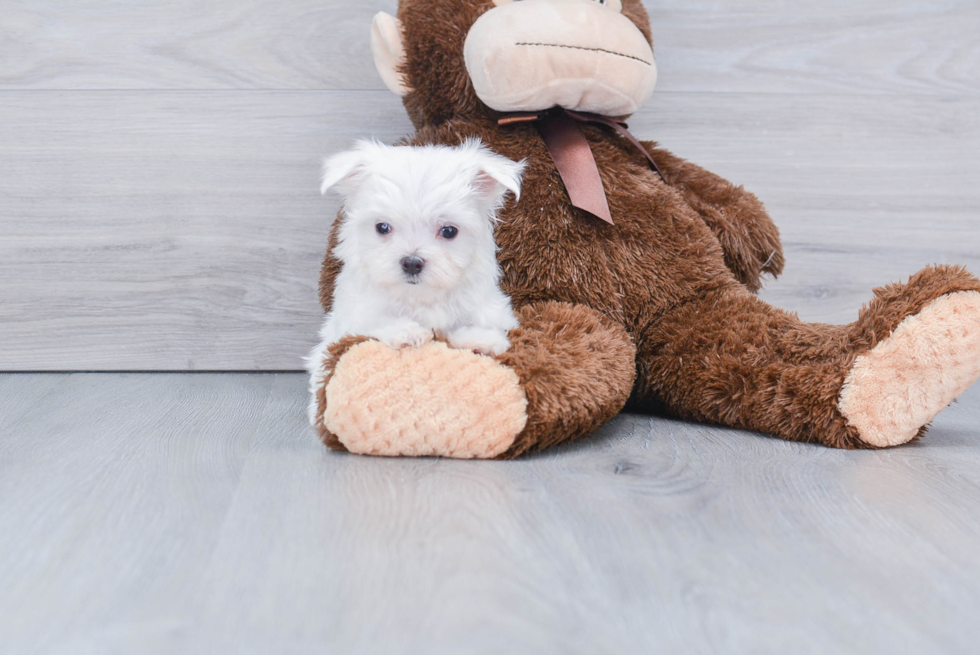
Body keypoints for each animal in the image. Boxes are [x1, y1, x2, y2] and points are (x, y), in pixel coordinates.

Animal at [306, 140, 524, 420]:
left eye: (449, 231)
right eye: (382, 227)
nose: (411, 262)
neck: (420, 297)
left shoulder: (491, 309)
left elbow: (472, 326)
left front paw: (482, 340)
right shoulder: (354, 317)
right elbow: (375, 322)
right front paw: (406, 331)